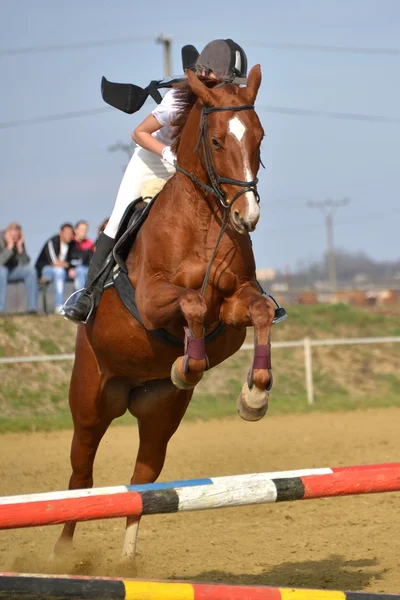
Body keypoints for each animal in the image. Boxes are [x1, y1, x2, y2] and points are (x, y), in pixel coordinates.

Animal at [55, 67, 276, 564]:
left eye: (260, 137)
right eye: (216, 141)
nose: (247, 216)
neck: (206, 220)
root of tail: (127, 391)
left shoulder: (234, 307)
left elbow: (261, 311)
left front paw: (253, 397)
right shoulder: (153, 299)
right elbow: (190, 303)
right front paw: (187, 364)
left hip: (160, 413)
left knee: (143, 480)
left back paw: (128, 558)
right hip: (90, 401)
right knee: (81, 476)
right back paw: (62, 554)